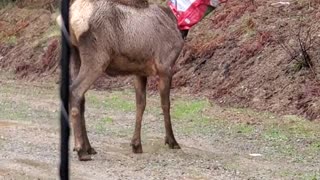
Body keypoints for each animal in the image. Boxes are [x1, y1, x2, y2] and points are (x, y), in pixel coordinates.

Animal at [57, 0, 182, 160]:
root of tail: (72, 17)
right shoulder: (166, 66)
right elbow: (166, 105)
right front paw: (172, 141)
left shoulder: (140, 71)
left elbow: (140, 104)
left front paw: (136, 144)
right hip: (97, 58)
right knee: (75, 91)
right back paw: (81, 150)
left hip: (75, 54)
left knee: (81, 97)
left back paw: (89, 147)